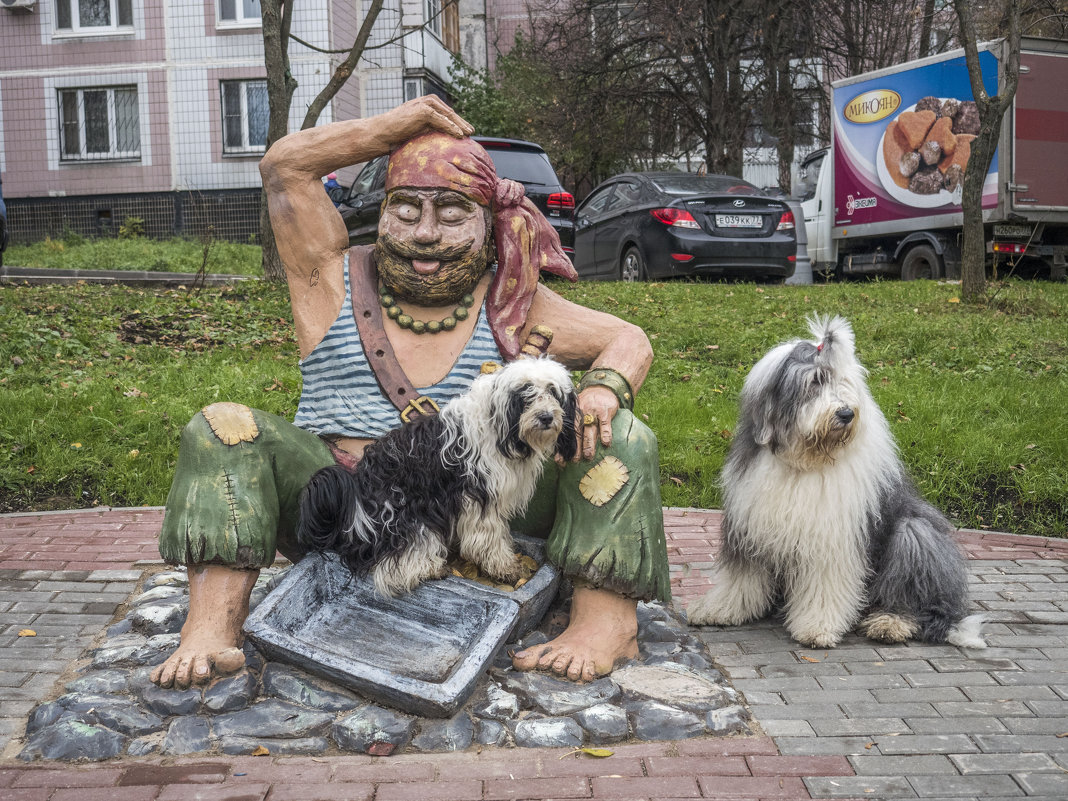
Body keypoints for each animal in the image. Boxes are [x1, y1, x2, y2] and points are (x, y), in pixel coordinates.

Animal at [296, 360, 576, 598]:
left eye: (554, 393)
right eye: (526, 394)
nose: (546, 417)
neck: (499, 426)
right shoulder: (479, 496)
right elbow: (488, 539)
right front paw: (504, 567)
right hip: (408, 512)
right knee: (392, 564)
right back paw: (428, 568)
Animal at [692, 316, 982, 653]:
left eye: (843, 381)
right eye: (815, 382)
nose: (845, 413)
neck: (806, 462)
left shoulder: (831, 539)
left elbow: (825, 586)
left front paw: (817, 629)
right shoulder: (749, 527)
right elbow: (741, 577)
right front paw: (721, 610)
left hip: (915, 533)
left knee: (916, 598)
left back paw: (890, 623)